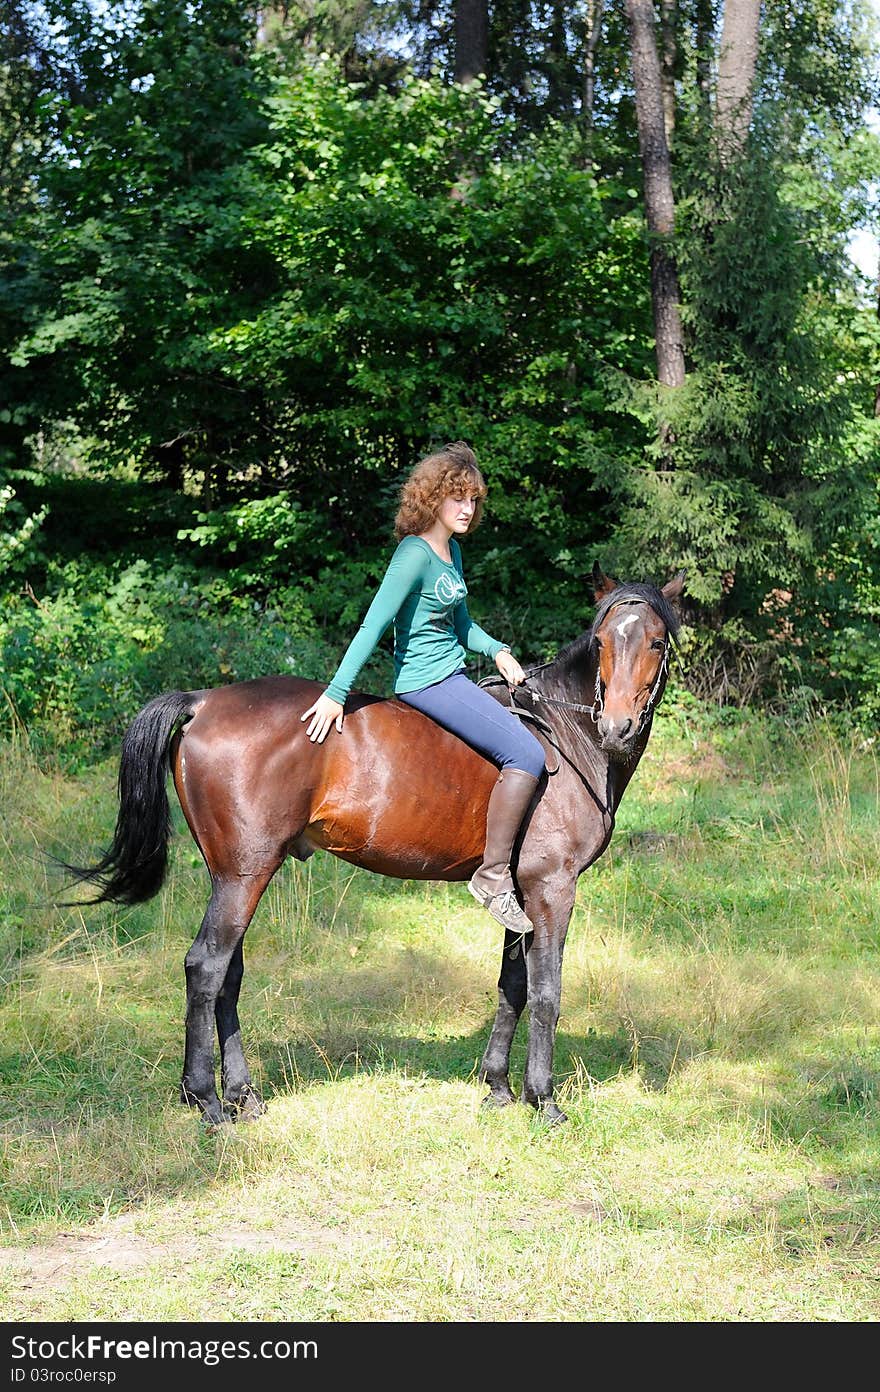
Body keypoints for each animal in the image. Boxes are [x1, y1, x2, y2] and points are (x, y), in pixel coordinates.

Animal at [67, 559, 687, 1124]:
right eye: (602, 641)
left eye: (657, 641)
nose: (616, 727)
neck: (564, 735)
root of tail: (204, 701)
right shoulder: (552, 888)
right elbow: (546, 991)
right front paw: (544, 1100)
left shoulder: (519, 894)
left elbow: (512, 985)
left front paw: (498, 1088)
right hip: (244, 875)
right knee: (205, 968)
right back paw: (207, 1100)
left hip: (236, 875)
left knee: (228, 975)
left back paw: (243, 1095)